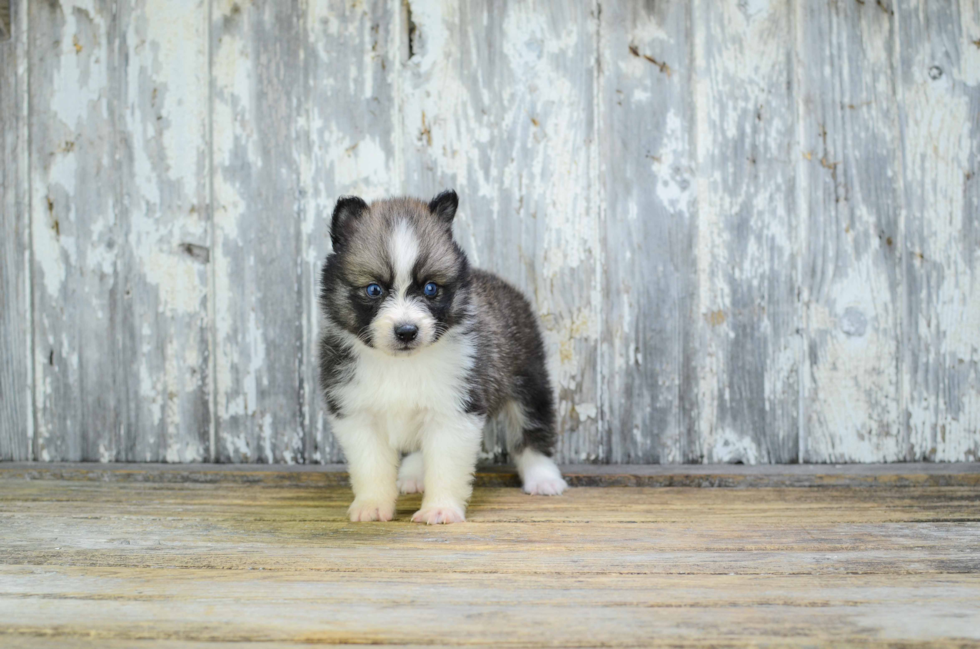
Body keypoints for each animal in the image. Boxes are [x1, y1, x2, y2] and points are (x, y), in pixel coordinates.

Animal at [320, 190, 568, 524]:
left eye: (430, 288)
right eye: (374, 289)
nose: (407, 331)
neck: (400, 364)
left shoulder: (455, 411)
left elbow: (445, 465)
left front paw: (440, 509)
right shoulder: (356, 412)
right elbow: (370, 466)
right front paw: (372, 504)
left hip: (528, 378)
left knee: (531, 429)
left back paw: (543, 477)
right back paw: (413, 474)